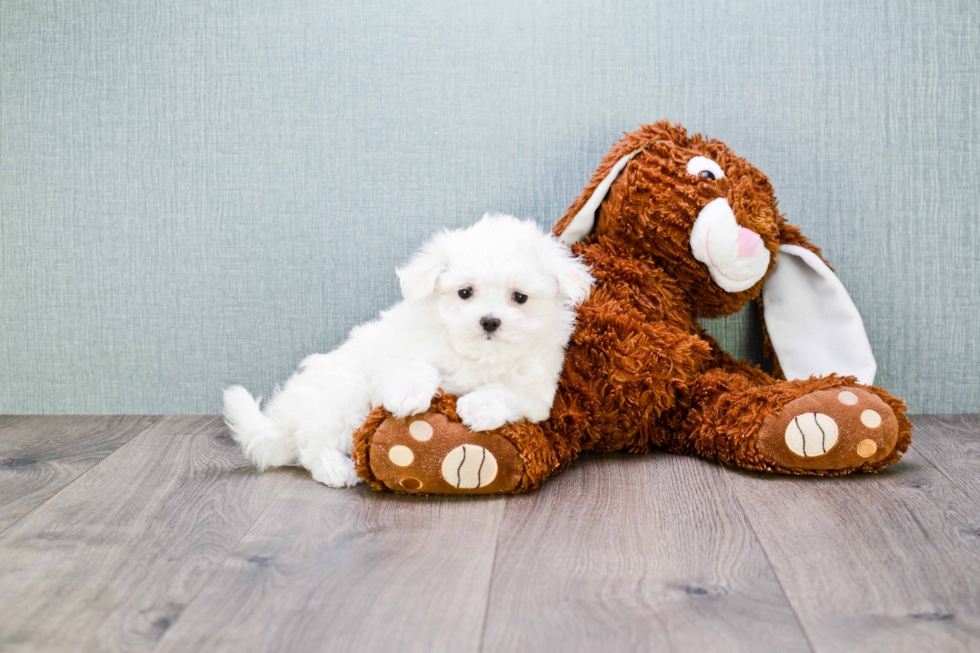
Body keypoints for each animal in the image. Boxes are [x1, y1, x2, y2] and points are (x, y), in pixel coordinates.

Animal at [224, 215, 588, 488]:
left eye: (520, 297)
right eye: (465, 292)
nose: (489, 320)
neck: (476, 356)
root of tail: (285, 419)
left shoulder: (536, 390)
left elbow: (505, 391)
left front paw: (479, 406)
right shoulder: (399, 353)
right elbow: (416, 367)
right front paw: (409, 395)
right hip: (342, 399)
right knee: (312, 446)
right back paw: (338, 470)